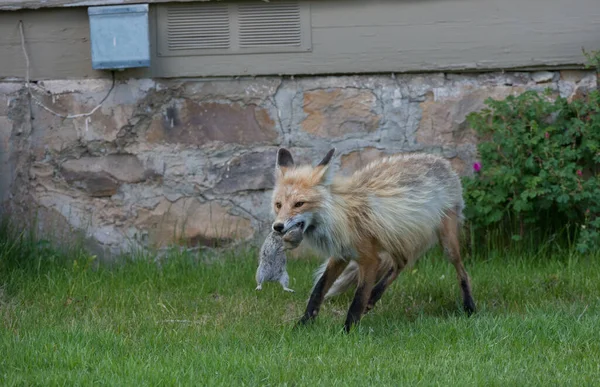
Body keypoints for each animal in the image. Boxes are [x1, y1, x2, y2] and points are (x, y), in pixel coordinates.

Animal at [270, 149, 474, 334]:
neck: (342, 216)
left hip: (447, 244)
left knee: (462, 271)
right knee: (401, 263)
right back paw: (374, 296)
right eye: (278, 205)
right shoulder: (340, 255)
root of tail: (442, 161)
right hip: (395, 239)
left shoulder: (369, 259)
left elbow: (358, 299)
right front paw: (302, 325)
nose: (277, 226)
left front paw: (347, 332)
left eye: (299, 204)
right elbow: (318, 290)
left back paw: (469, 306)